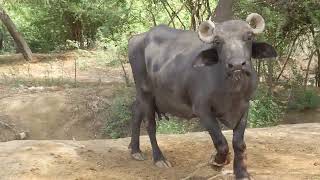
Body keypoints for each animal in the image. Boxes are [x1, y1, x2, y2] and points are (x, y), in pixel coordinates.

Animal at [127, 13, 278, 179]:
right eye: (218, 41)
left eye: (249, 37)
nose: (237, 65)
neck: (231, 90)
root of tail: (137, 39)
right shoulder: (202, 110)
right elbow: (221, 142)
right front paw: (217, 162)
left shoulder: (244, 107)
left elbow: (239, 143)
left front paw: (242, 173)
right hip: (145, 92)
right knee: (150, 125)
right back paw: (159, 158)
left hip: (143, 96)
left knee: (135, 111)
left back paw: (135, 150)